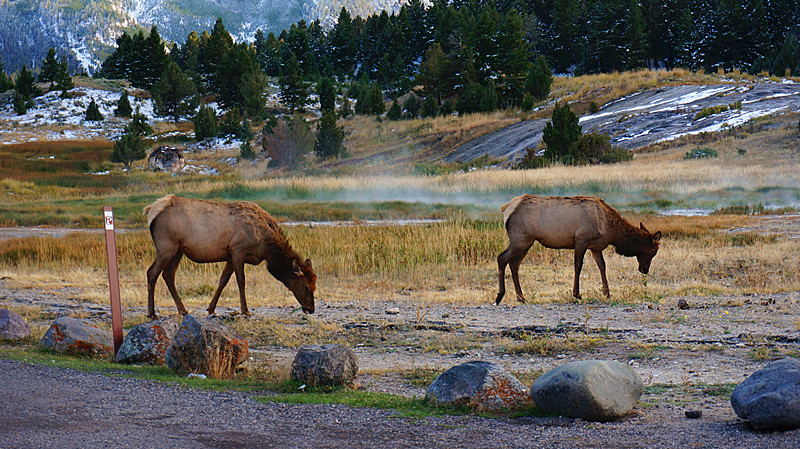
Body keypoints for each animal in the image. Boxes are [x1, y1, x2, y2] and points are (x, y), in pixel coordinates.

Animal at [144, 195, 316, 318]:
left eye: (315, 286)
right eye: (306, 287)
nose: (311, 309)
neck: (267, 247)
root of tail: (152, 210)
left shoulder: (230, 254)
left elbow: (223, 280)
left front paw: (211, 309)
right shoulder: (238, 249)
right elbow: (241, 281)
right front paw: (245, 310)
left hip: (177, 250)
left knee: (168, 275)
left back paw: (183, 310)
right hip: (166, 246)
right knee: (152, 273)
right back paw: (152, 313)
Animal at [494, 194, 664, 302]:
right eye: (653, 252)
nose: (644, 270)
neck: (610, 230)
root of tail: (506, 209)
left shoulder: (596, 247)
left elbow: (602, 266)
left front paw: (607, 293)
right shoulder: (581, 240)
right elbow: (578, 266)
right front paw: (577, 294)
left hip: (525, 242)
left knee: (514, 264)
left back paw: (521, 297)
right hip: (520, 239)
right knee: (502, 258)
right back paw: (500, 295)